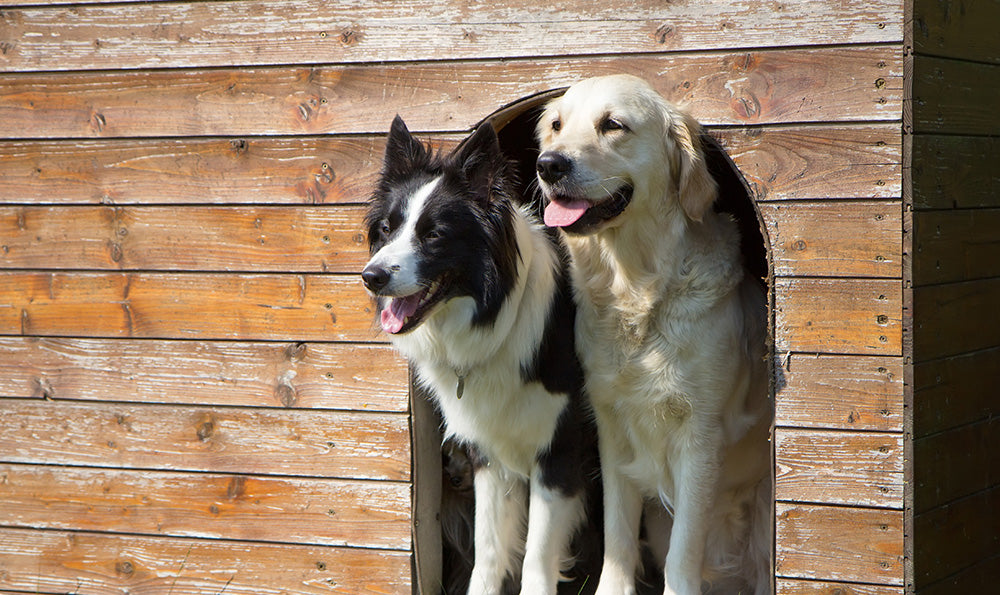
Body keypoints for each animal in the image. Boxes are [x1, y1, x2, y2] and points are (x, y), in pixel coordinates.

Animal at [368, 117, 600, 595]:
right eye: (385, 229)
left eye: (434, 234)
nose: (371, 276)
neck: (497, 320)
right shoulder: (489, 456)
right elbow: (489, 554)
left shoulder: (560, 452)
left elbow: (536, 560)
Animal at [536, 75, 768, 595]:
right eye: (557, 125)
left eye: (613, 125)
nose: (548, 165)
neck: (637, 293)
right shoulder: (611, 428)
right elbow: (618, 535)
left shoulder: (700, 437)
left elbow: (685, 551)